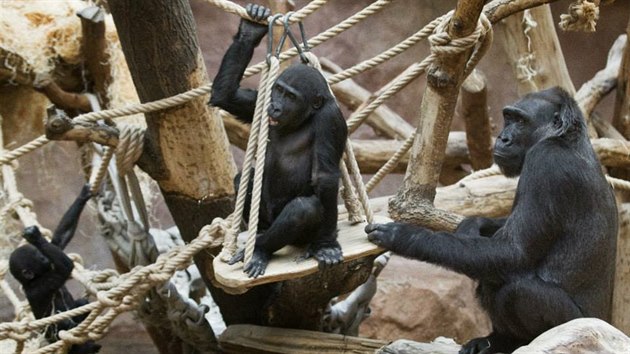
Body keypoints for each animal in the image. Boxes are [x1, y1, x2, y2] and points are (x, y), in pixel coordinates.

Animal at [212, 4, 350, 278]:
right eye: (278, 90)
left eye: (291, 96)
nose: (275, 107)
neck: (304, 116)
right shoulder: (260, 101)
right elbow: (227, 96)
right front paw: (251, 29)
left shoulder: (330, 118)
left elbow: (325, 178)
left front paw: (327, 245)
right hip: (266, 216)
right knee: (245, 178)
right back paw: (257, 238)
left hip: (300, 236)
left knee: (303, 209)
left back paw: (259, 250)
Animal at [368, 86, 620, 354]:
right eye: (508, 117)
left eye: (520, 121)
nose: (503, 137)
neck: (563, 138)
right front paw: (473, 223)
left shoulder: (545, 163)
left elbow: (513, 251)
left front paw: (406, 236)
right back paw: (496, 340)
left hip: (574, 325)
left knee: (518, 290)